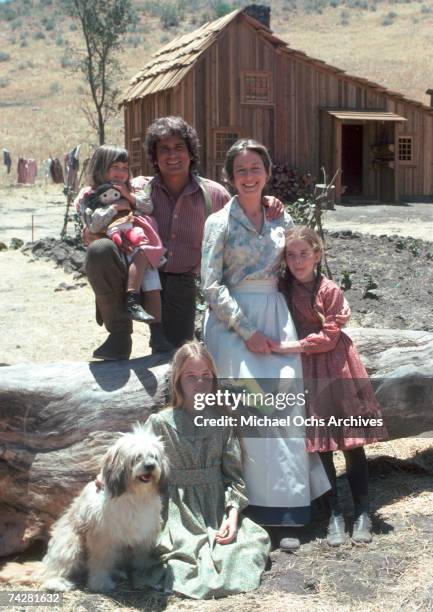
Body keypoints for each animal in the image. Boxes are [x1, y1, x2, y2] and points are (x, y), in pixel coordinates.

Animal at [41, 426, 167, 592]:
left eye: (154, 456)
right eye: (137, 457)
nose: (150, 466)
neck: (134, 495)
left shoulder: (144, 534)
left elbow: (141, 557)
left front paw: (144, 574)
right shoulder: (103, 536)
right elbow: (100, 561)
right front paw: (100, 583)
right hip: (70, 542)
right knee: (56, 566)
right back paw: (56, 582)